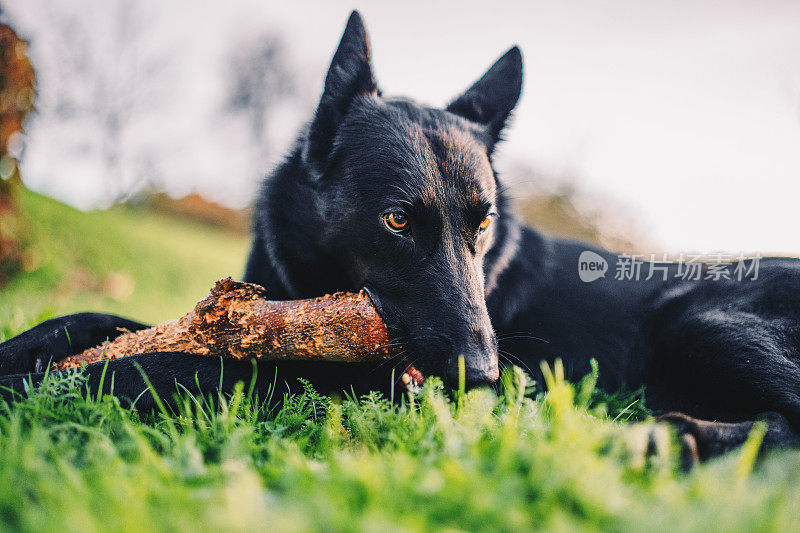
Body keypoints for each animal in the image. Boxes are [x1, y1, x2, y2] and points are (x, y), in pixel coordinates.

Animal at [1, 13, 800, 462]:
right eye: (395, 221)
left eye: (483, 222)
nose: (483, 377)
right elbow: (101, 321)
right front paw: (26, 355)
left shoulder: (343, 375)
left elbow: (201, 366)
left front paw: (78, 382)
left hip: (699, 319)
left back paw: (673, 436)